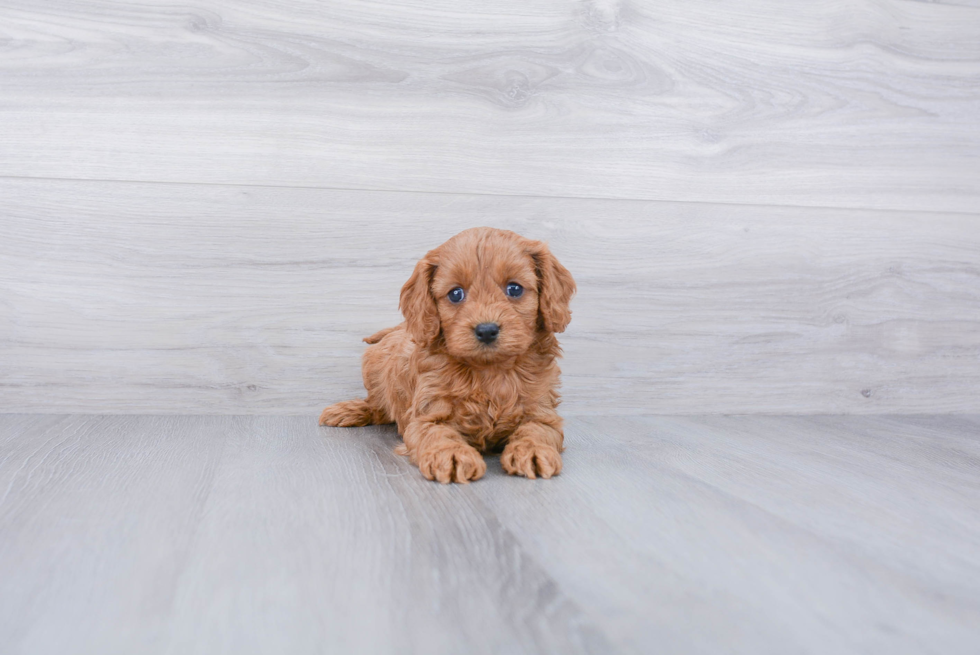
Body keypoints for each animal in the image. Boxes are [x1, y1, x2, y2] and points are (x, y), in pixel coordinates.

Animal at [320, 228, 576, 484]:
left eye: (514, 289)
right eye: (455, 294)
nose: (486, 330)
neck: (488, 370)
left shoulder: (542, 412)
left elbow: (537, 430)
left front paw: (533, 450)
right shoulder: (426, 415)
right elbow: (438, 433)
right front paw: (451, 455)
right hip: (374, 364)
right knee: (377, 405)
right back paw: (348, 410)